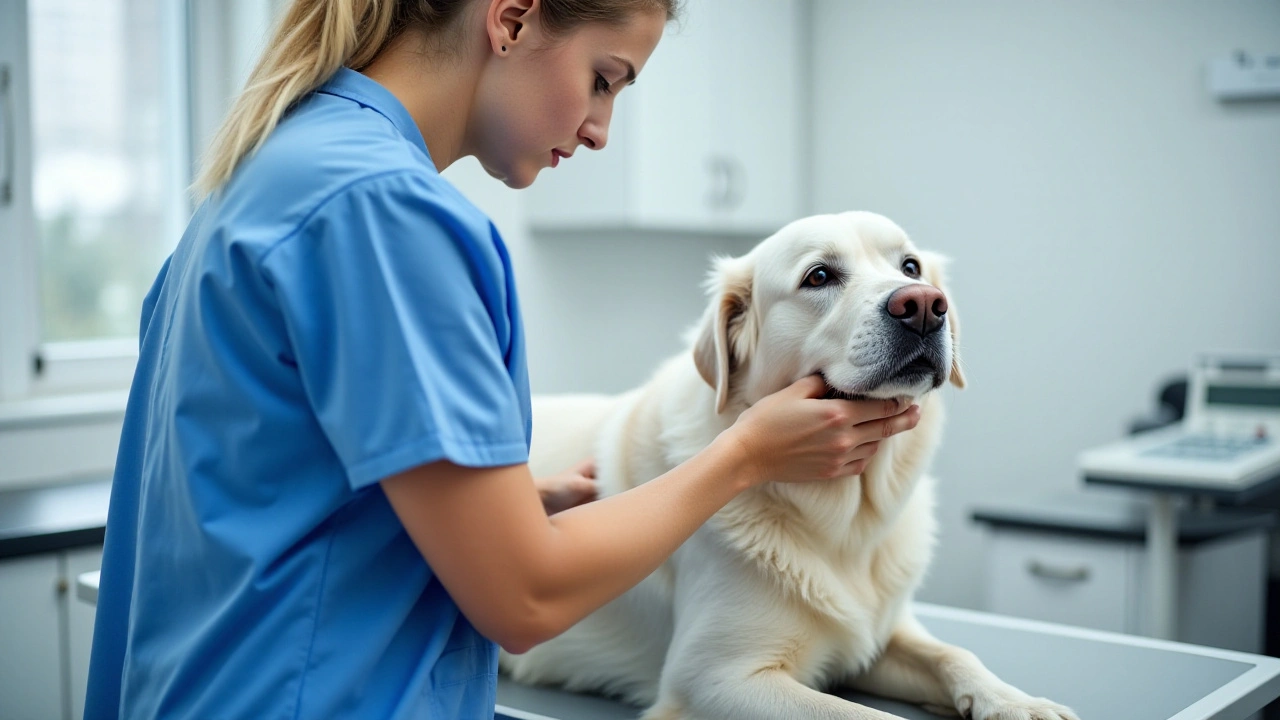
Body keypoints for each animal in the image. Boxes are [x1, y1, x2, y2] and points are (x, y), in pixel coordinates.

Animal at [499, 208, 1080, 717]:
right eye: (819, 275)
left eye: (910, 267)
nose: (922, 304)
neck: (848, 517)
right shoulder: (713, 677)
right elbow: (864, 717)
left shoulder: (876, 634)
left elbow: (955, 653)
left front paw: (1017, 702)